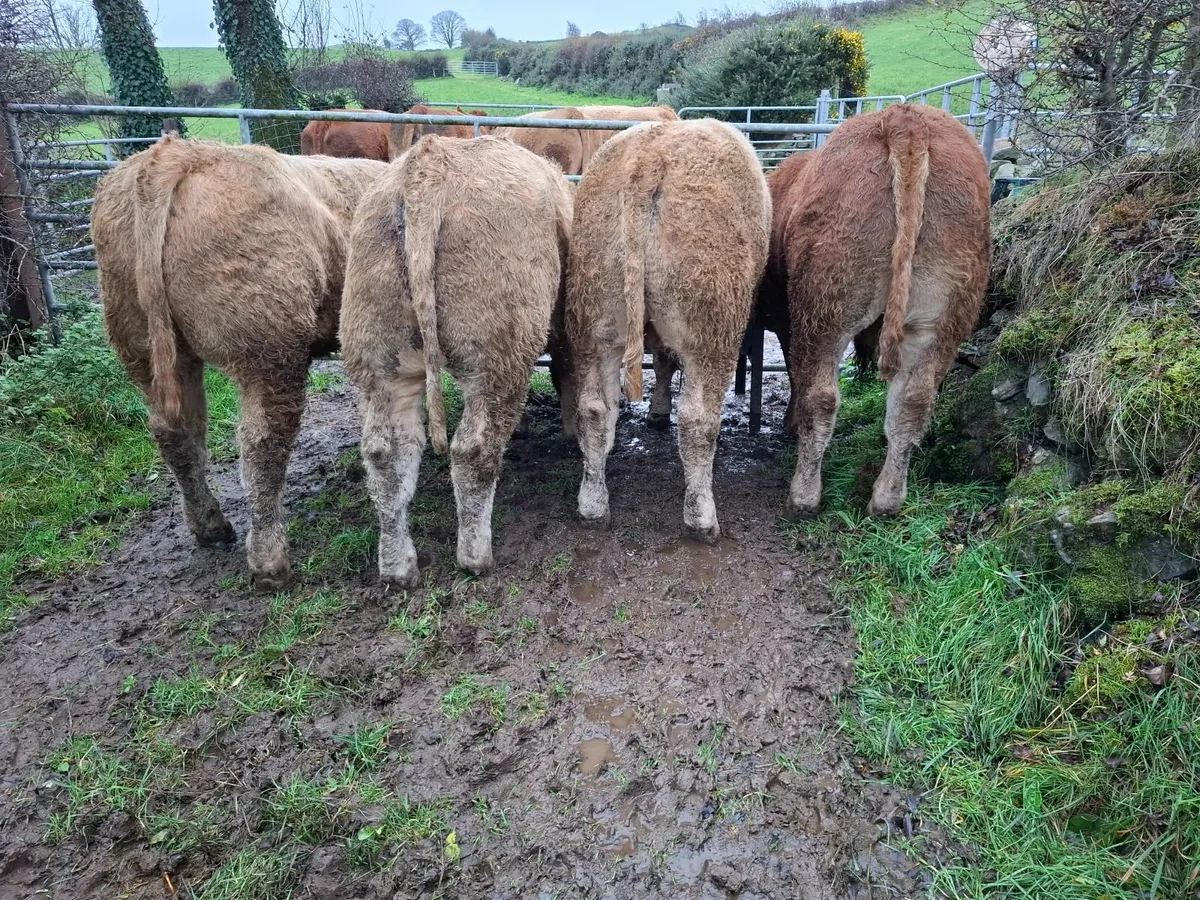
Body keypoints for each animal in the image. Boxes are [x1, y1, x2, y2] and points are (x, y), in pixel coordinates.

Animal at [92, 136, 387, 589]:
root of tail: (177, 153)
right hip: (270, 351)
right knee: (262, 441)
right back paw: (270, 561)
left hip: (144, 345)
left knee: (179, 432)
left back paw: (210, 526)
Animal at [340, 135, 572, 588]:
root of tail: (429, 163)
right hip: (497, 357)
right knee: (473, 450)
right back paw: (475, 557)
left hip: (377, 357)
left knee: (385, 455)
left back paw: (397, 566)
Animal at [564, 119, 771, 542]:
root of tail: (649, 156)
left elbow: (661, 361)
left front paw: (656, 411)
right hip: (710, 323)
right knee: (697, 419)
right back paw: (702, 517)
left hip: (595, 317)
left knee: (594, 410)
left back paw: (592, 505)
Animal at [757, 103, 990, 519]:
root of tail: (905, 118)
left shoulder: (788, 323)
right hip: (928, 320)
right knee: (903, 402)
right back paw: (880, 499)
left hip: (831, 312)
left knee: (835, 398)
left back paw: (811, 497)